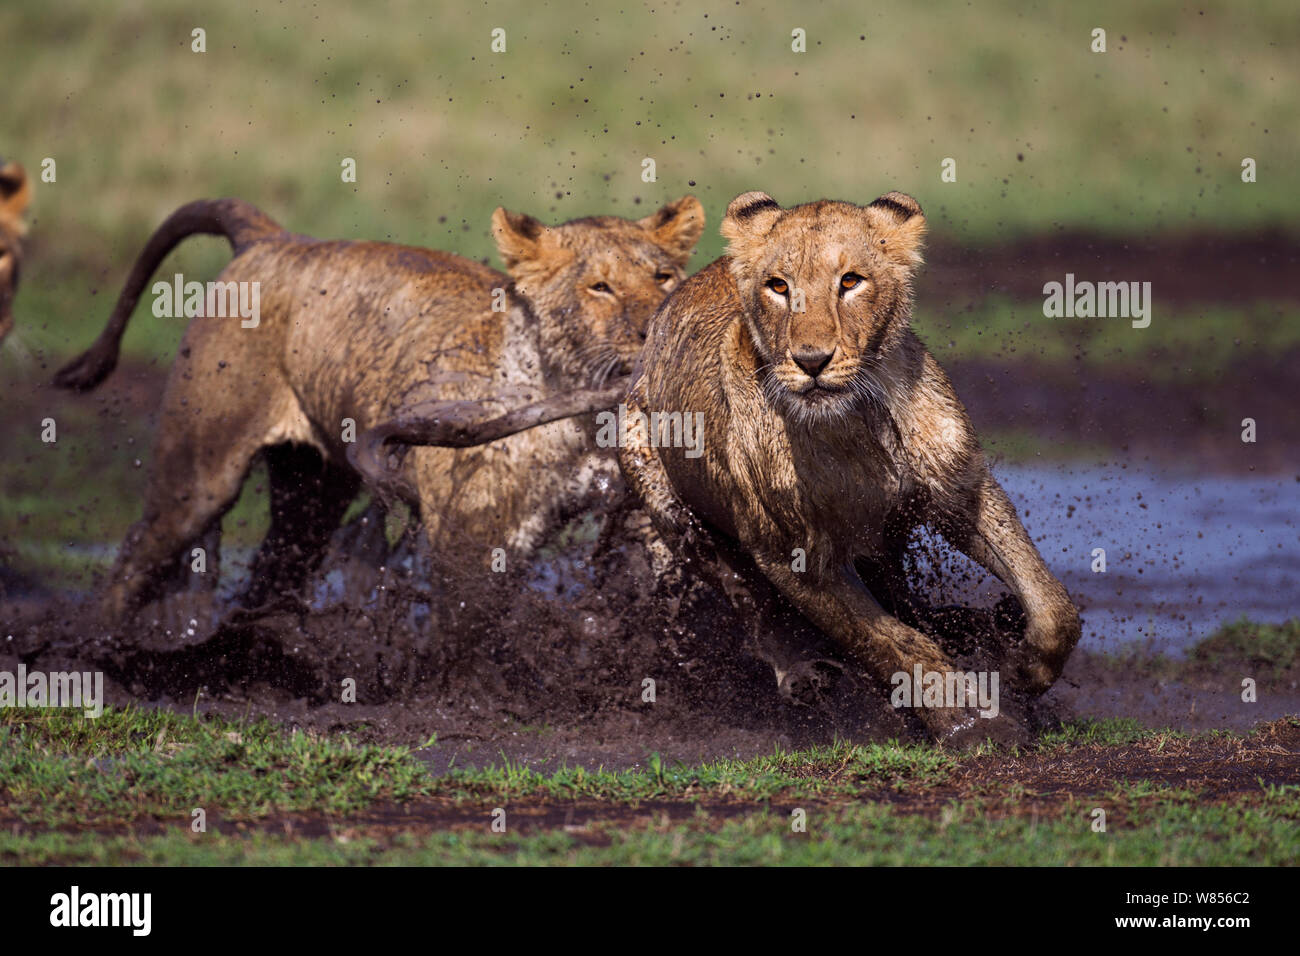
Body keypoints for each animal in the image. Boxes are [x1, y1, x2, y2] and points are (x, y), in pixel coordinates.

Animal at [53, 195, 703, 623]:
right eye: (600, 287)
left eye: (663, 276)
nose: (656, 330)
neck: (582, 423)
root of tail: (273, 240)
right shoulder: (472, 538)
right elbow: (466, 642)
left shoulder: (643, 511)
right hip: (199, 468)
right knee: (136, 557)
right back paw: (99, 657)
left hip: (312, 487)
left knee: (273, 571)